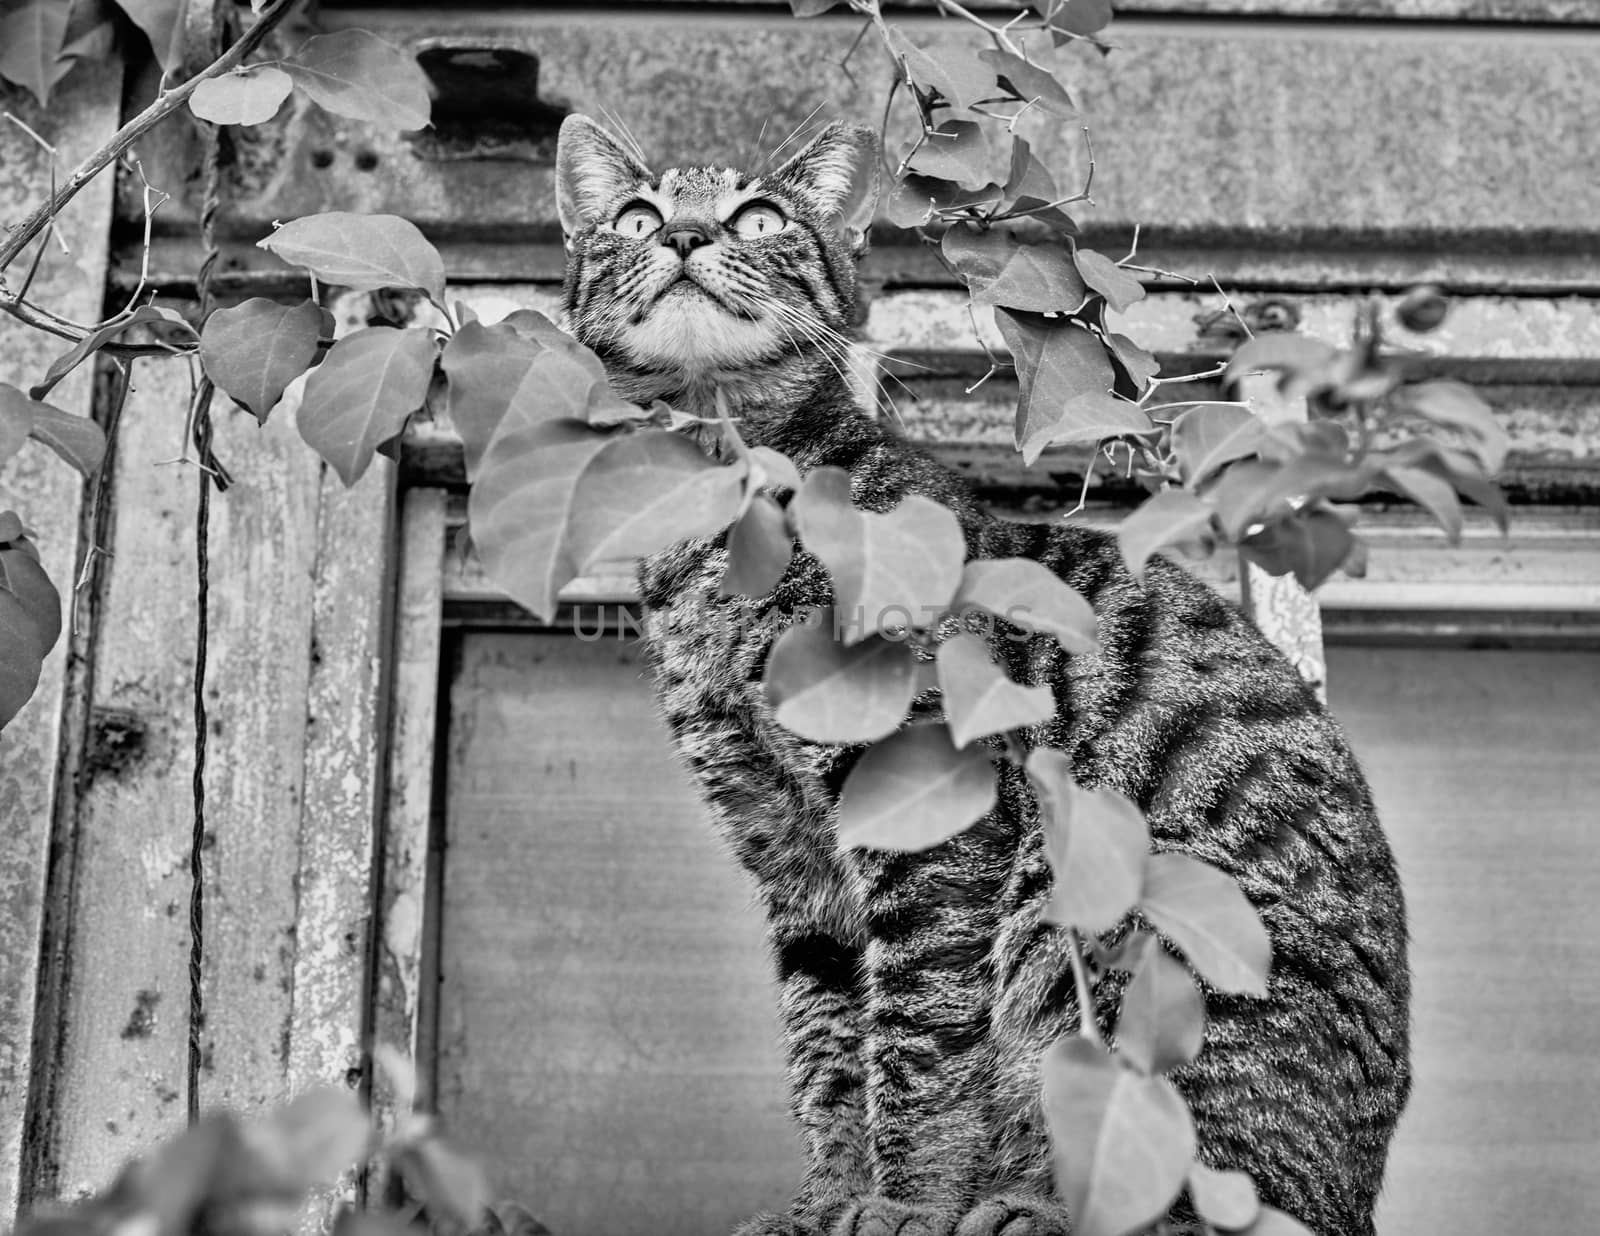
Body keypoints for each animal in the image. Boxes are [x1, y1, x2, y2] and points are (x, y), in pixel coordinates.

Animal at [553, 116, 1414, 1236]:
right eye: (635, 217)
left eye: (760, 217)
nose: (688, 236)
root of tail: (1354, 1198)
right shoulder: (787, 853)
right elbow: (828, 1052)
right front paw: (829, 1200)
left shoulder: (925, 818)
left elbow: (919, 1039)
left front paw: (907, 1203)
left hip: (1078, 892)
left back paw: (1027, 1206)